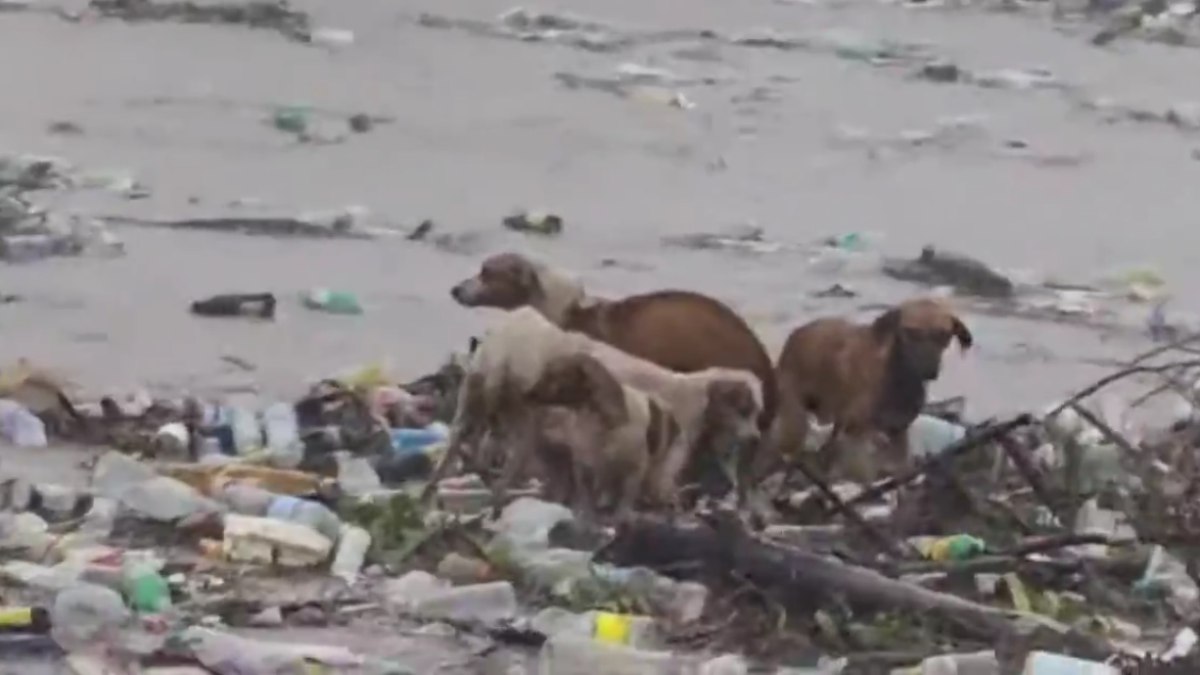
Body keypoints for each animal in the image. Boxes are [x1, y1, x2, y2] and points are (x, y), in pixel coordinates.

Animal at [768, 296, 974, 480]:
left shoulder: (898, 433)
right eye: (910, 332)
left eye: (944, 334)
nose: (930, 372)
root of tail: (796, 335)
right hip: (796, 419)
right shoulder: (857, 435)